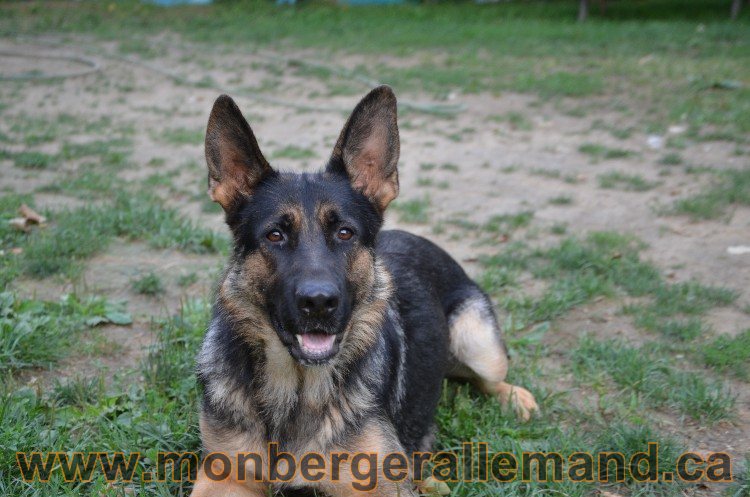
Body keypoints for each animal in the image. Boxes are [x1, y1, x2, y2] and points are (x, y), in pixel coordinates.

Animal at [192, 86, 538, 497]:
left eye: (345, 233)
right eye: (275, 235)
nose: (319, 303)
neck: (296, 391)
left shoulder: (381, 486)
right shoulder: (223, 476)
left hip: (478, 341)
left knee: (487, 376)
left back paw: (515, 398)